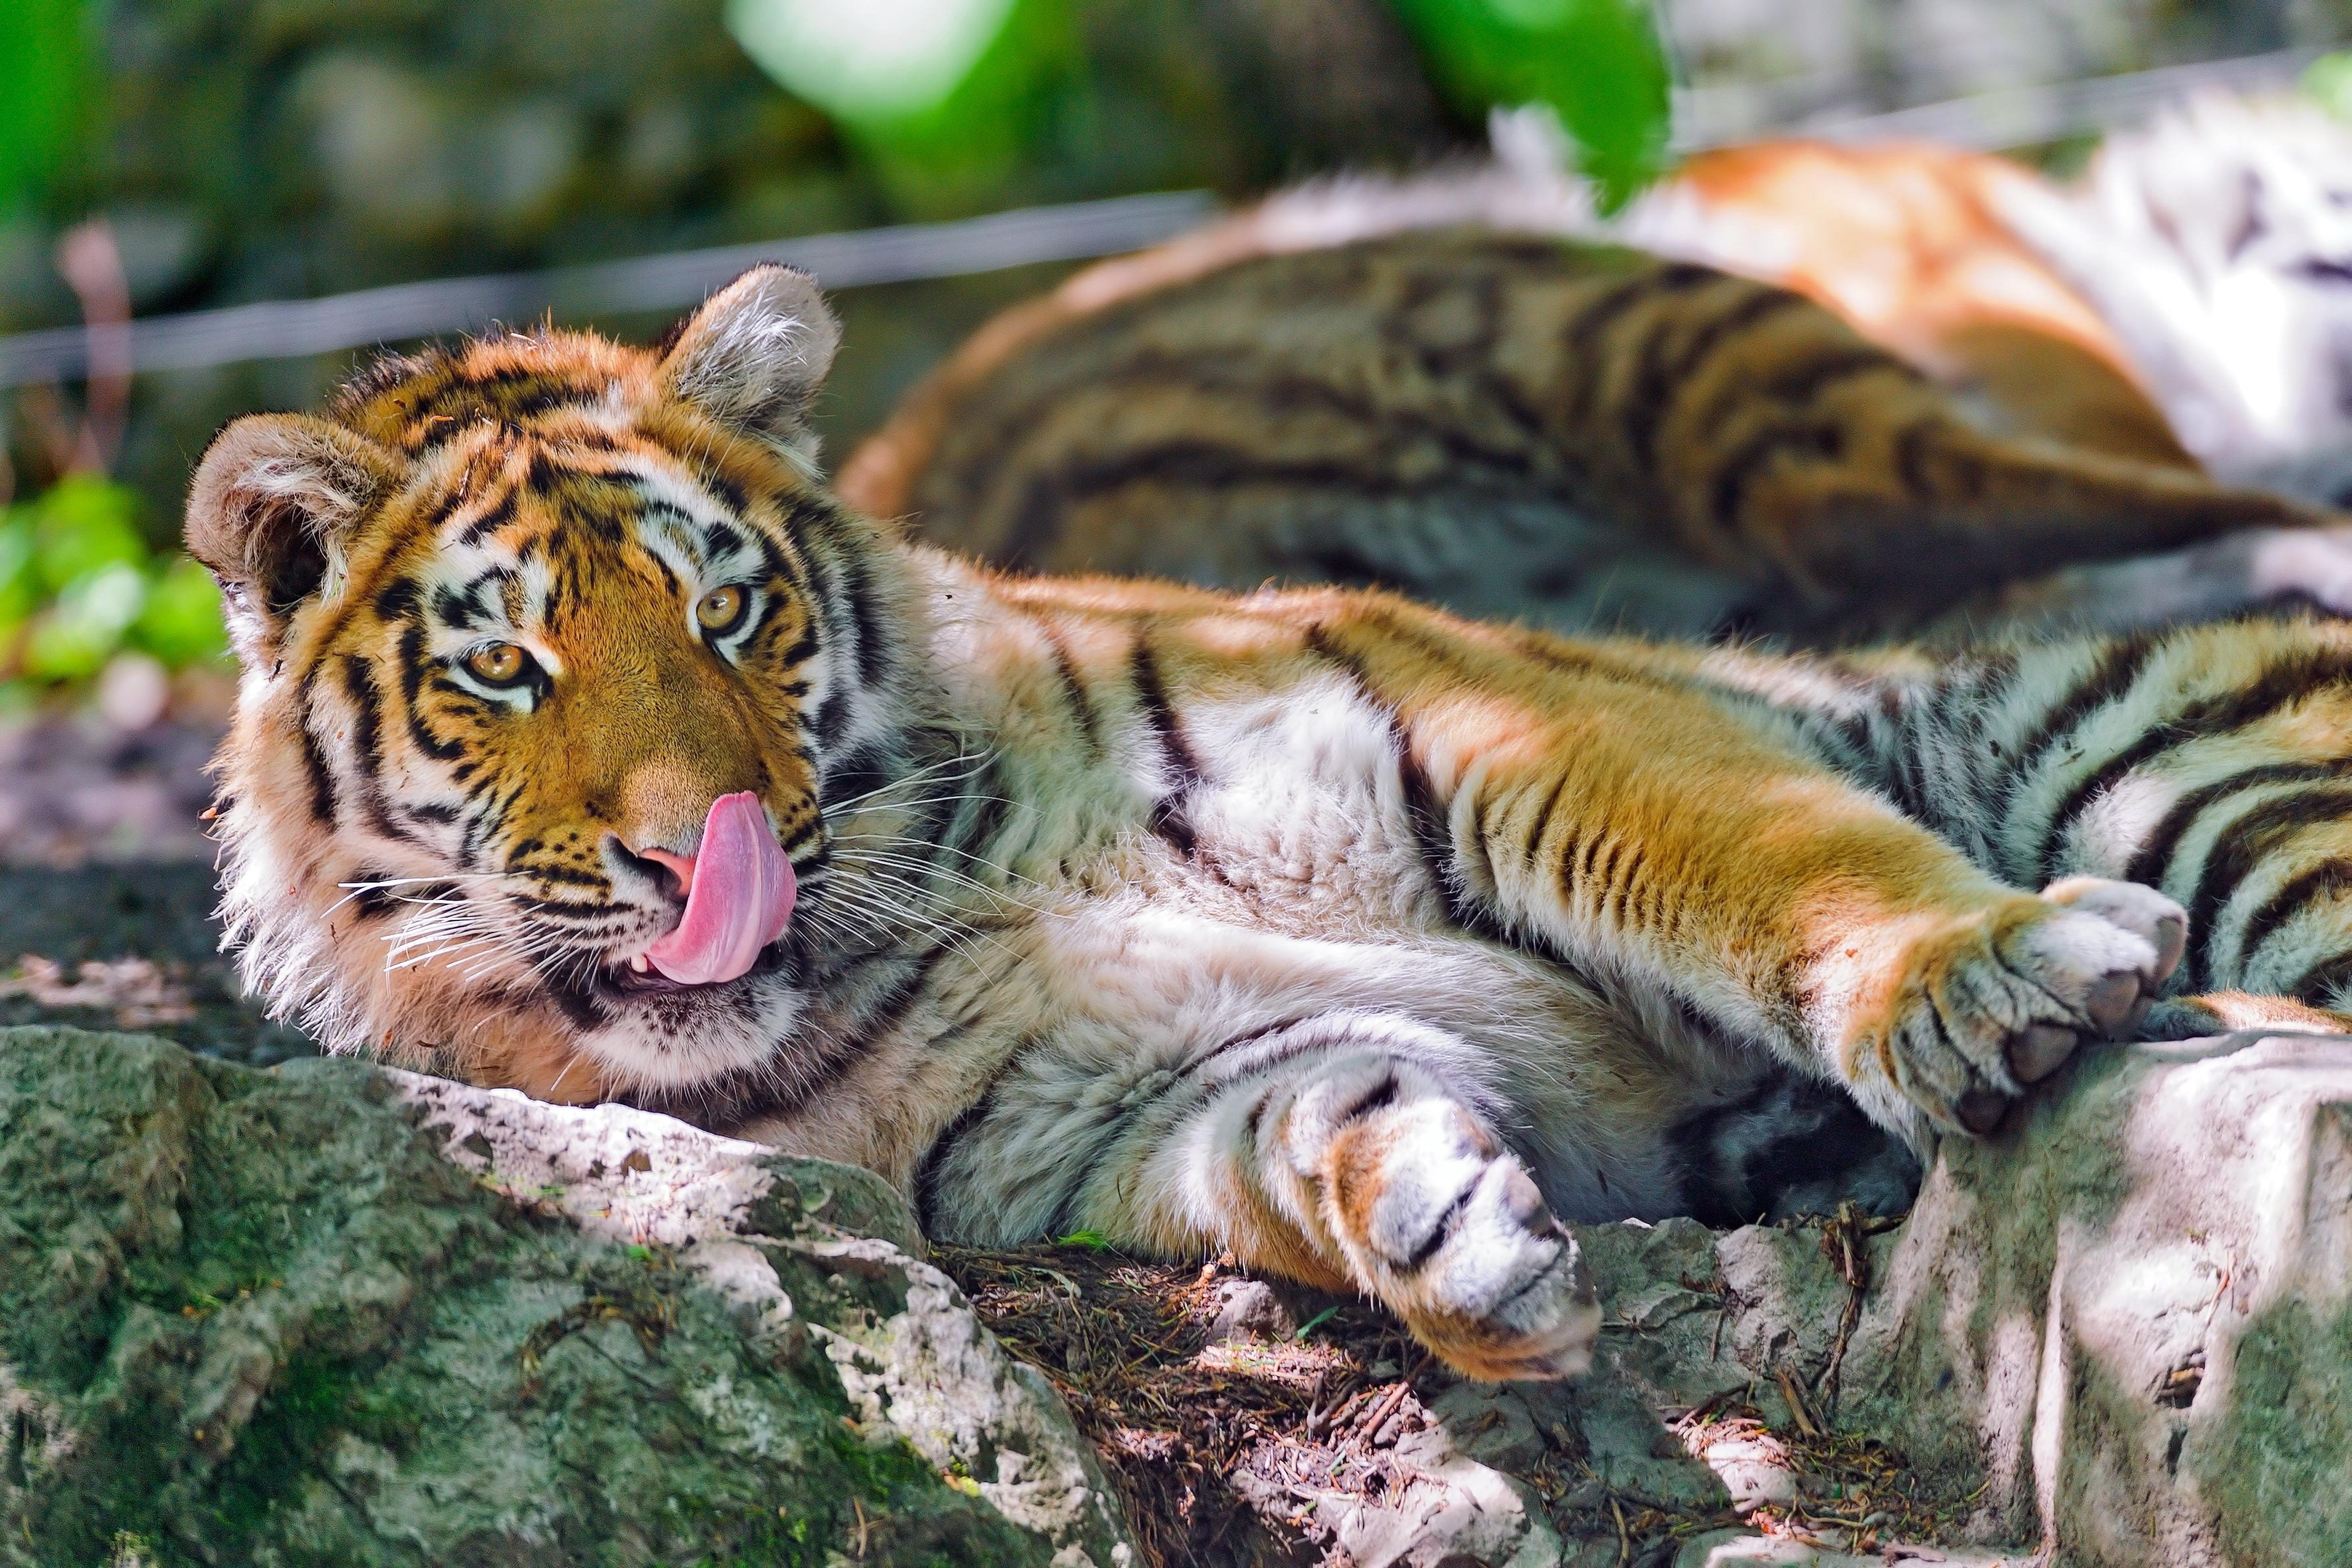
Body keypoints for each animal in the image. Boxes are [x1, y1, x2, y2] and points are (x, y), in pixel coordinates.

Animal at [193, 263, 2352, 1382]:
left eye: (727, 613)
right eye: (509, 665)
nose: (700, 850)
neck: (934, 892)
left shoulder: (1498, 725)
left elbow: (1769, 863)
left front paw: (1980, 969)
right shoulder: (1098, 1110)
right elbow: (1302, 1125)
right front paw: (1443, 1232)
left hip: (2154, 748)